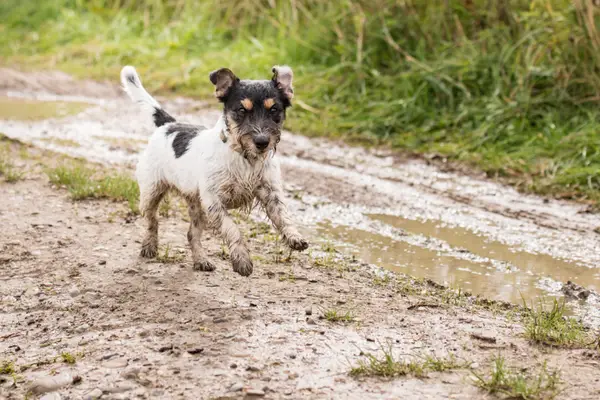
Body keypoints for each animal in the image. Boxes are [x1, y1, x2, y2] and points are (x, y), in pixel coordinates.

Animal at [122, 66, 310, 278]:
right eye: (241, 110)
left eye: (274, 109)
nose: (262, 142)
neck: (244, 157)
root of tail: (168, 125)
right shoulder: (214, 201)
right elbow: (232, 228)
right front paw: (242, 260)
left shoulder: (271, 193)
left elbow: (283, 216)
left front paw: (294, 237)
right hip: (151, 192)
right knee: (151, 220)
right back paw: (149, 246)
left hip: (196, 204)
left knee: (192, 234)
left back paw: (201, 260)